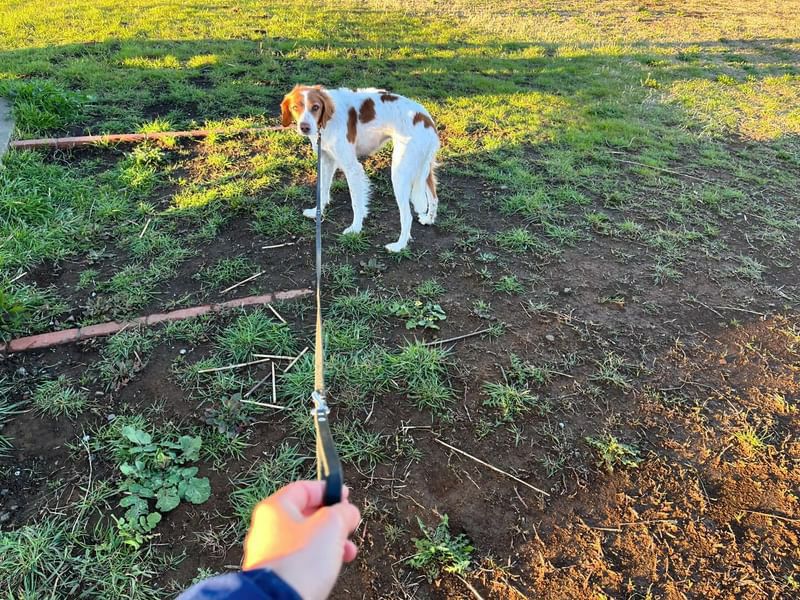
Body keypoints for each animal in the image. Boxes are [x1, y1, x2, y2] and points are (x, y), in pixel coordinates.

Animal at [280, 85, 439, 252]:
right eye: (295, 107)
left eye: (315, 107)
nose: (304, 127)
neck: (328, 120)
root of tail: (427, 120)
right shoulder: (326, 160)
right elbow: (322, 190)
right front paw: (316, 212)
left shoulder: (352, 168)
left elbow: (356, 203)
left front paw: (355, 229)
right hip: (422, 168)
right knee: (434, 197)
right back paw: (429, 219)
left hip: (399, 173)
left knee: (407, 216)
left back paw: (399, 246)